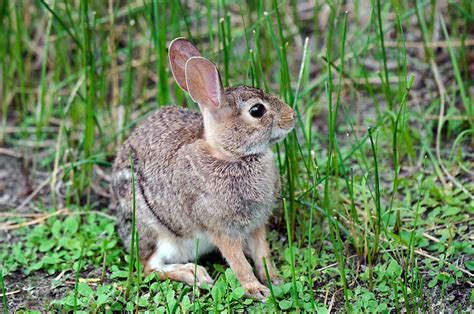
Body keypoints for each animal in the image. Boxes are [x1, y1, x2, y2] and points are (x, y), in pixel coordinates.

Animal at [111, 38, 294, 300]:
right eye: (257, 111)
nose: (292, 116)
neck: (229, 156)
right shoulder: (220, 228)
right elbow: (238, 263)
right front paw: (256, 289)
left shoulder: (257, 224)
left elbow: (263, 253)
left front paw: (275, 279)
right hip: (156, 232)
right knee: (148, 267)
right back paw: (194, 274)